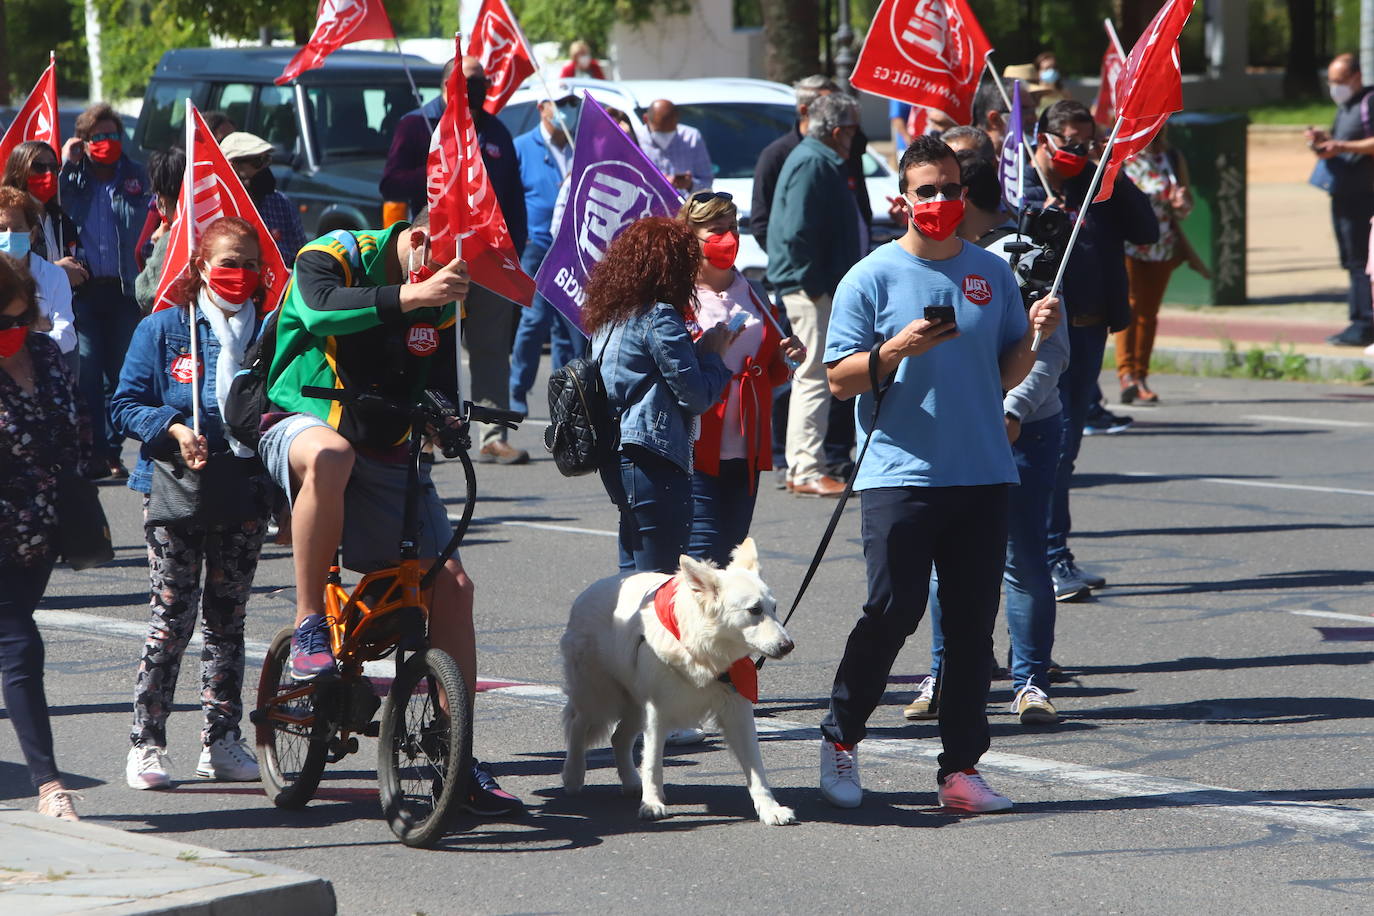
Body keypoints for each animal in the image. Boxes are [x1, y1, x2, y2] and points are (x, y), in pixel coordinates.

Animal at [555, 541, 796, 829]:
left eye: (774, 608)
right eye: (755, 610)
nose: (788, 646)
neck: (703, 650)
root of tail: (590, 590)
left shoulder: (737, 713)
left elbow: (757, 769)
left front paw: (770, 809)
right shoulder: (657, 713)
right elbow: (652, 763)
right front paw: (652, 804)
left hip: (635, 707)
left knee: (618, 738)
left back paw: (631, 782)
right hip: (601, 697)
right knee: (578, 724)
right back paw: (573, 775)